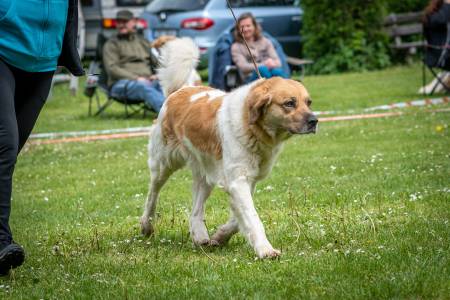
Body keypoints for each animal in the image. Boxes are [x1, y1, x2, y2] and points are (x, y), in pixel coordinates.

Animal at [139, 38, 318, 258]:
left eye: (308, 102)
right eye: (289, 103)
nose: (314, 121)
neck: (253, 128)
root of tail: (180, 91)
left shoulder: (246, 181)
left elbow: (237, 219)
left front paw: (221, 236)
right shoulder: (238, 181)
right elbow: (252, 217)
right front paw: (265, 249)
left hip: (206, 174)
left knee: (196, 210)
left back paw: (200, 236)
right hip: (163, 164)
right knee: (152, 194)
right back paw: (146, 226)